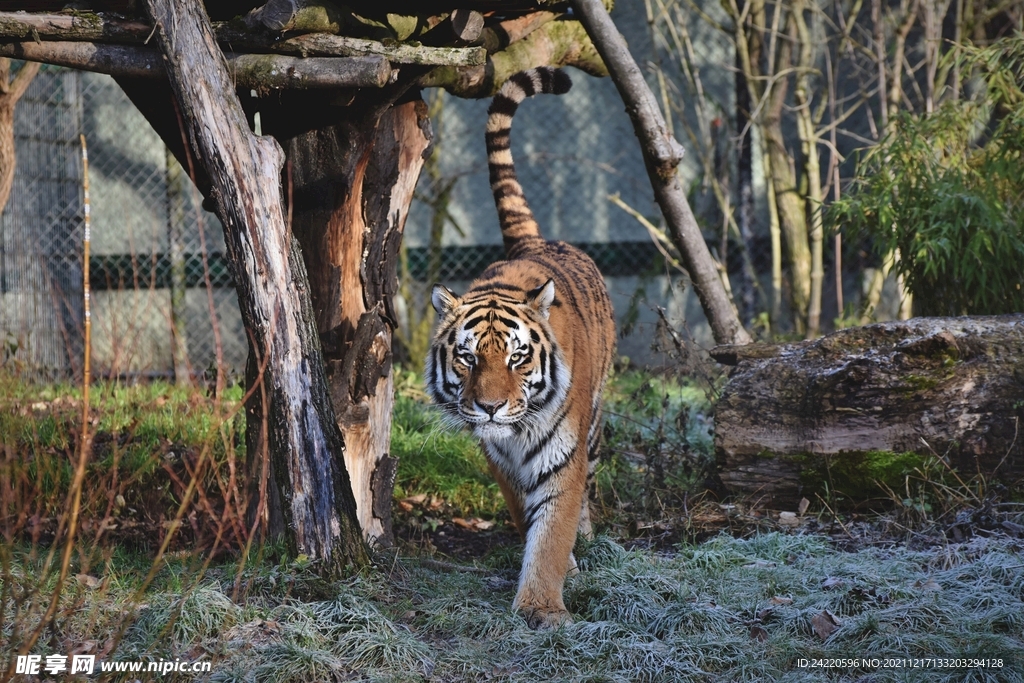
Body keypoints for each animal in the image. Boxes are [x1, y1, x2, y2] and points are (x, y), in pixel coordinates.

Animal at [425, 67, 615, 630]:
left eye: (517, 357)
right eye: (467, 357)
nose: (489, 408)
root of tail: (534, 243)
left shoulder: (563, 455)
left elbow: (552, 529)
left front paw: (542, 608)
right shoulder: (499, 460)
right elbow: (527, 514)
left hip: (595, 424)